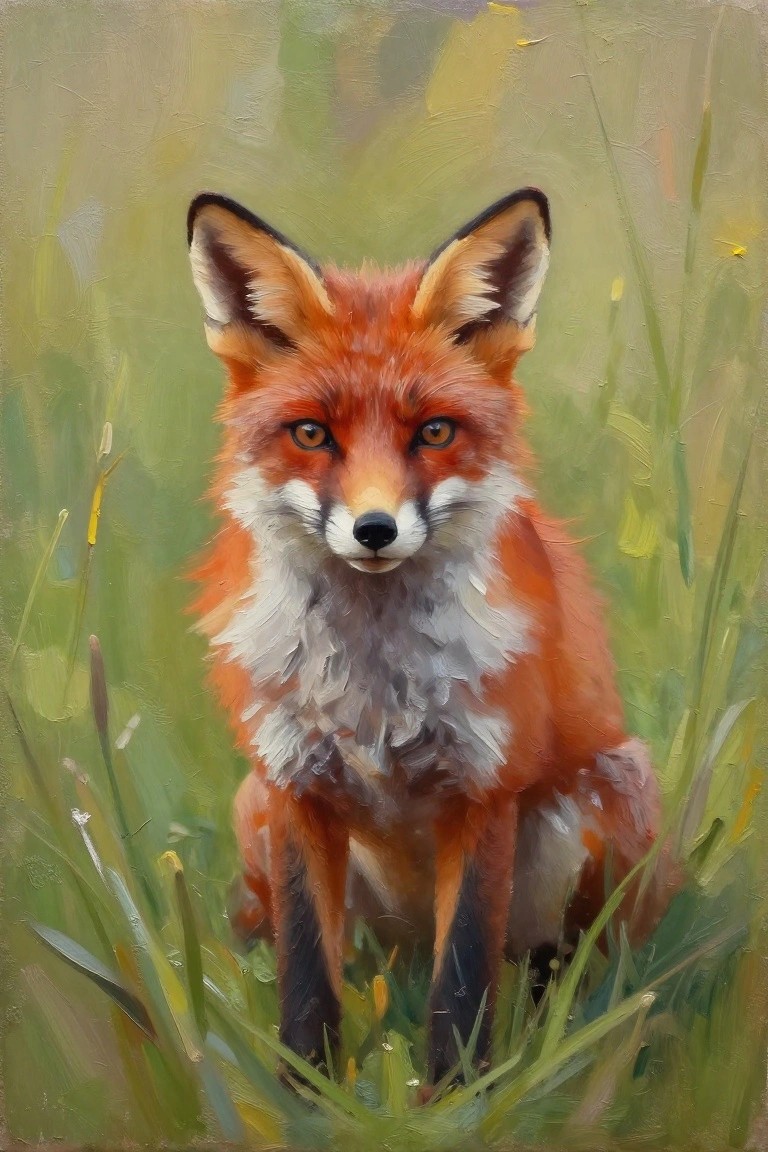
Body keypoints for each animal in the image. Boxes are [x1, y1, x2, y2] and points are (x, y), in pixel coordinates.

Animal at [186, 187, 672, 1087]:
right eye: (313, 434)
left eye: (435, 432)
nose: (375, 530)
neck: (374, 690)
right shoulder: (295, 788)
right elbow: (306, 974)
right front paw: (304, 1093)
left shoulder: (483, 788)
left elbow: (465, 976)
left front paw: (456, 1096)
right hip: (254, 813)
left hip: (612, 799)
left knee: (559, 969)